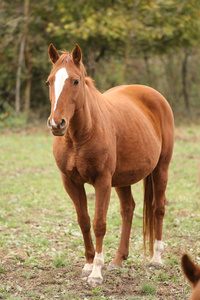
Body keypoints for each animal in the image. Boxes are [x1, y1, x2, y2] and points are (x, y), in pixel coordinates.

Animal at [46, 44, 173, 286]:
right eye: (49, 81)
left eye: (75, 81)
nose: (57, 124)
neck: (80, 136)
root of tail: (154, 95)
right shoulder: (71, 182)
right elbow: (84, 221)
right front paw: (88, 265)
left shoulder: (102, 181)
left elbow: (99, 224)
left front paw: (96, 273)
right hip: (123, 179)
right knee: (128, 209)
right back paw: (118, 260)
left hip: (161, 168)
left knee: (158, 207)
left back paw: (156, 259)